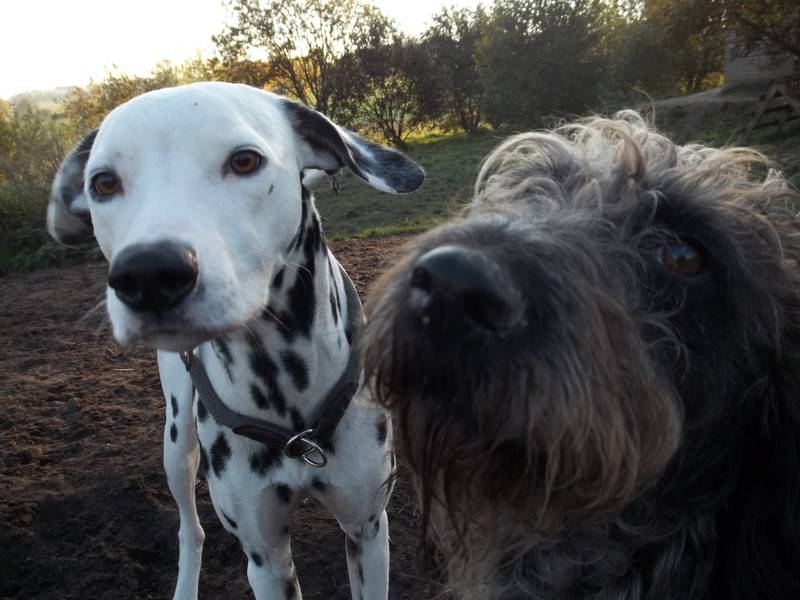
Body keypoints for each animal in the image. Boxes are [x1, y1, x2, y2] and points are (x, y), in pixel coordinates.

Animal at [46, 81, 423, 600]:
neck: (286, 392)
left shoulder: (367, 529)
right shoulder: (264, 558)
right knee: (191, 528)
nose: (148, 273)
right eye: (103, 183)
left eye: (244, 160)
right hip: (176, 441)